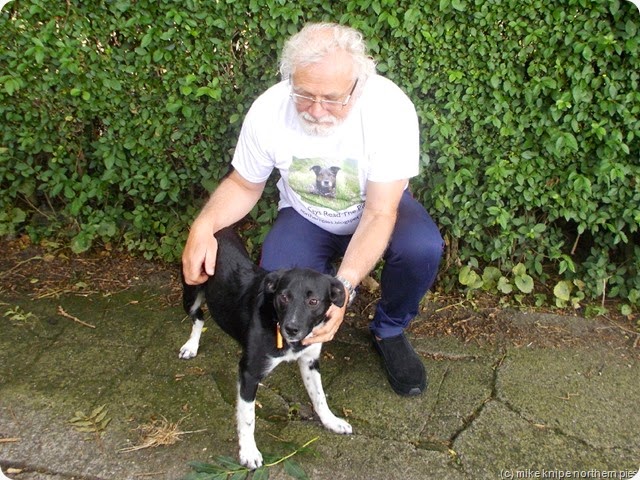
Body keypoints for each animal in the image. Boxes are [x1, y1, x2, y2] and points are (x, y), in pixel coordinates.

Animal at [179, 228, 350, 468]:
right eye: (283, 296)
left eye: (313, 301)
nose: (292, 328)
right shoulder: (249, 373)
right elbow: (248, 418)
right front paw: (249, 452)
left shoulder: (309, 361)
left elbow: (319, 396)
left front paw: (331, 421)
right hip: (191, 292)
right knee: (198, 317)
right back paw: (191, 346)